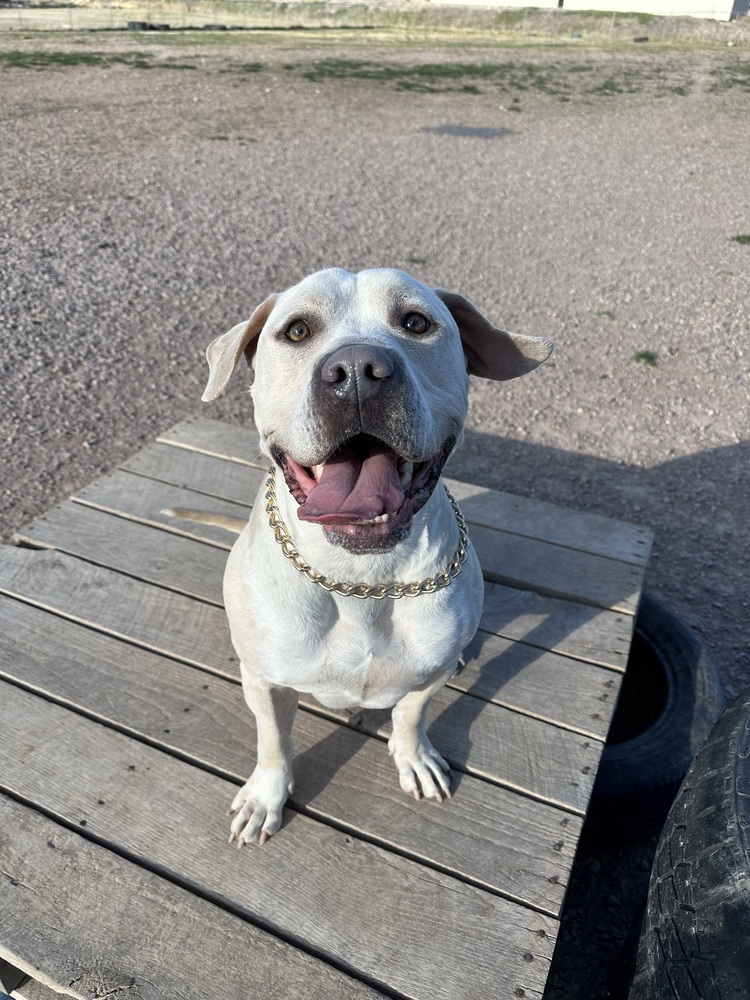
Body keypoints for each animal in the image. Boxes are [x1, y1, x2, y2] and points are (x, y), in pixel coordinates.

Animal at [197, 266, 556, 844]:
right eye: (297, 331)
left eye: (416, 322)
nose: (357, 372)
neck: (360, 577)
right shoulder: (265, 681)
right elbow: (273, 741)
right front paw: (265, 796)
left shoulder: (426, 676)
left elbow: (411, 714)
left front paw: (414, 757)